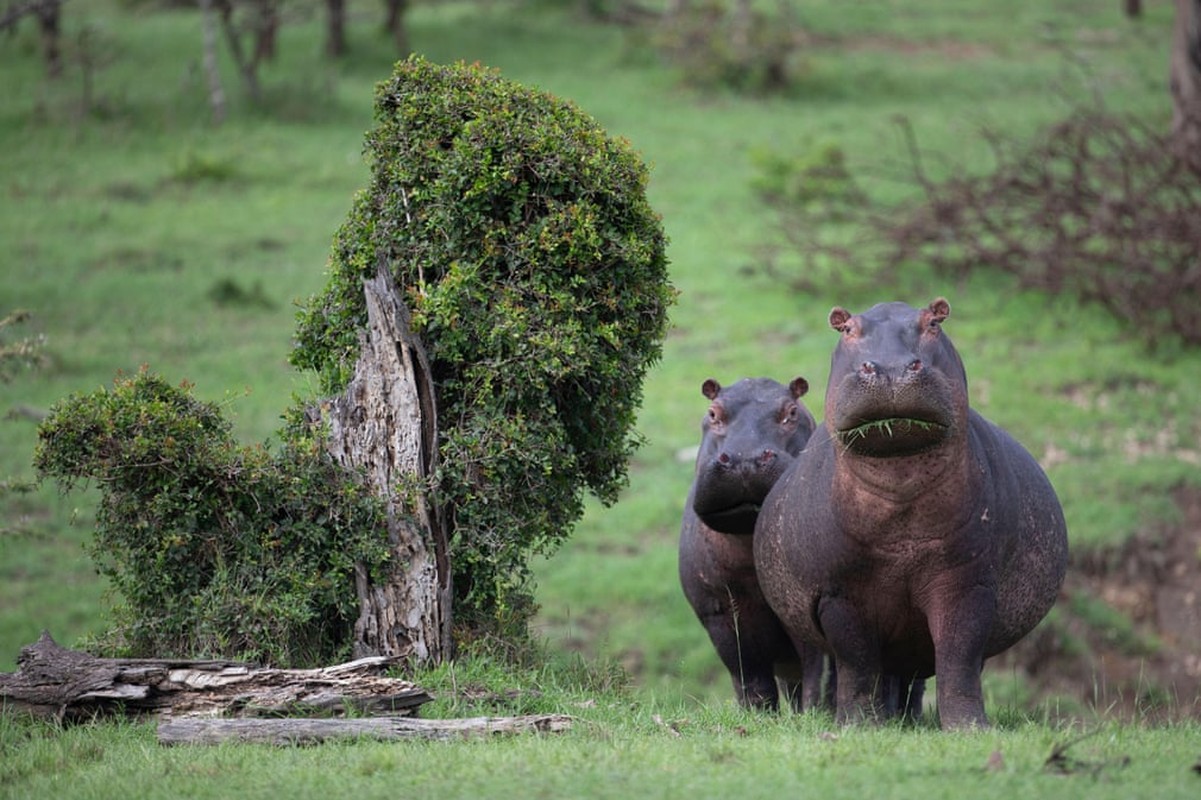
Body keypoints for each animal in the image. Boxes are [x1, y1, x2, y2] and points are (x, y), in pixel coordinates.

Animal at [677, 377, 826, 706]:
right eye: (713, 413)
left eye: (791, 412)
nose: (744, 459)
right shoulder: (720, 616)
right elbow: (752, 684)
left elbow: (818, 679)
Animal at [754, 299, 1066, 730]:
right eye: (846, 328)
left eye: (934, 321)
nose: (891, 369)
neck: (899, 484)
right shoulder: (840, 593)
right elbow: (857, 663)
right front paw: (858, 724)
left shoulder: (968, 583)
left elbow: (959, 656)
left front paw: (969, 728)